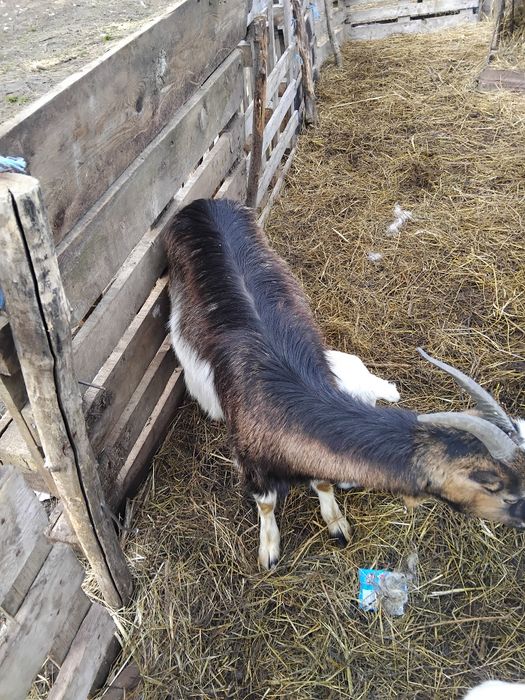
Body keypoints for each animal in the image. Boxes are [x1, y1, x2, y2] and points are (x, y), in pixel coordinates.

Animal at [164, 198, 525, 569]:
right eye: (507, 494)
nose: (524, 520)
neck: (292, 400)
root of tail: (203, 202)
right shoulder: (251, 463)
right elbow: (266, 503)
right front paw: (269, 550)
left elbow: (323, 483)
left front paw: (336, 522)